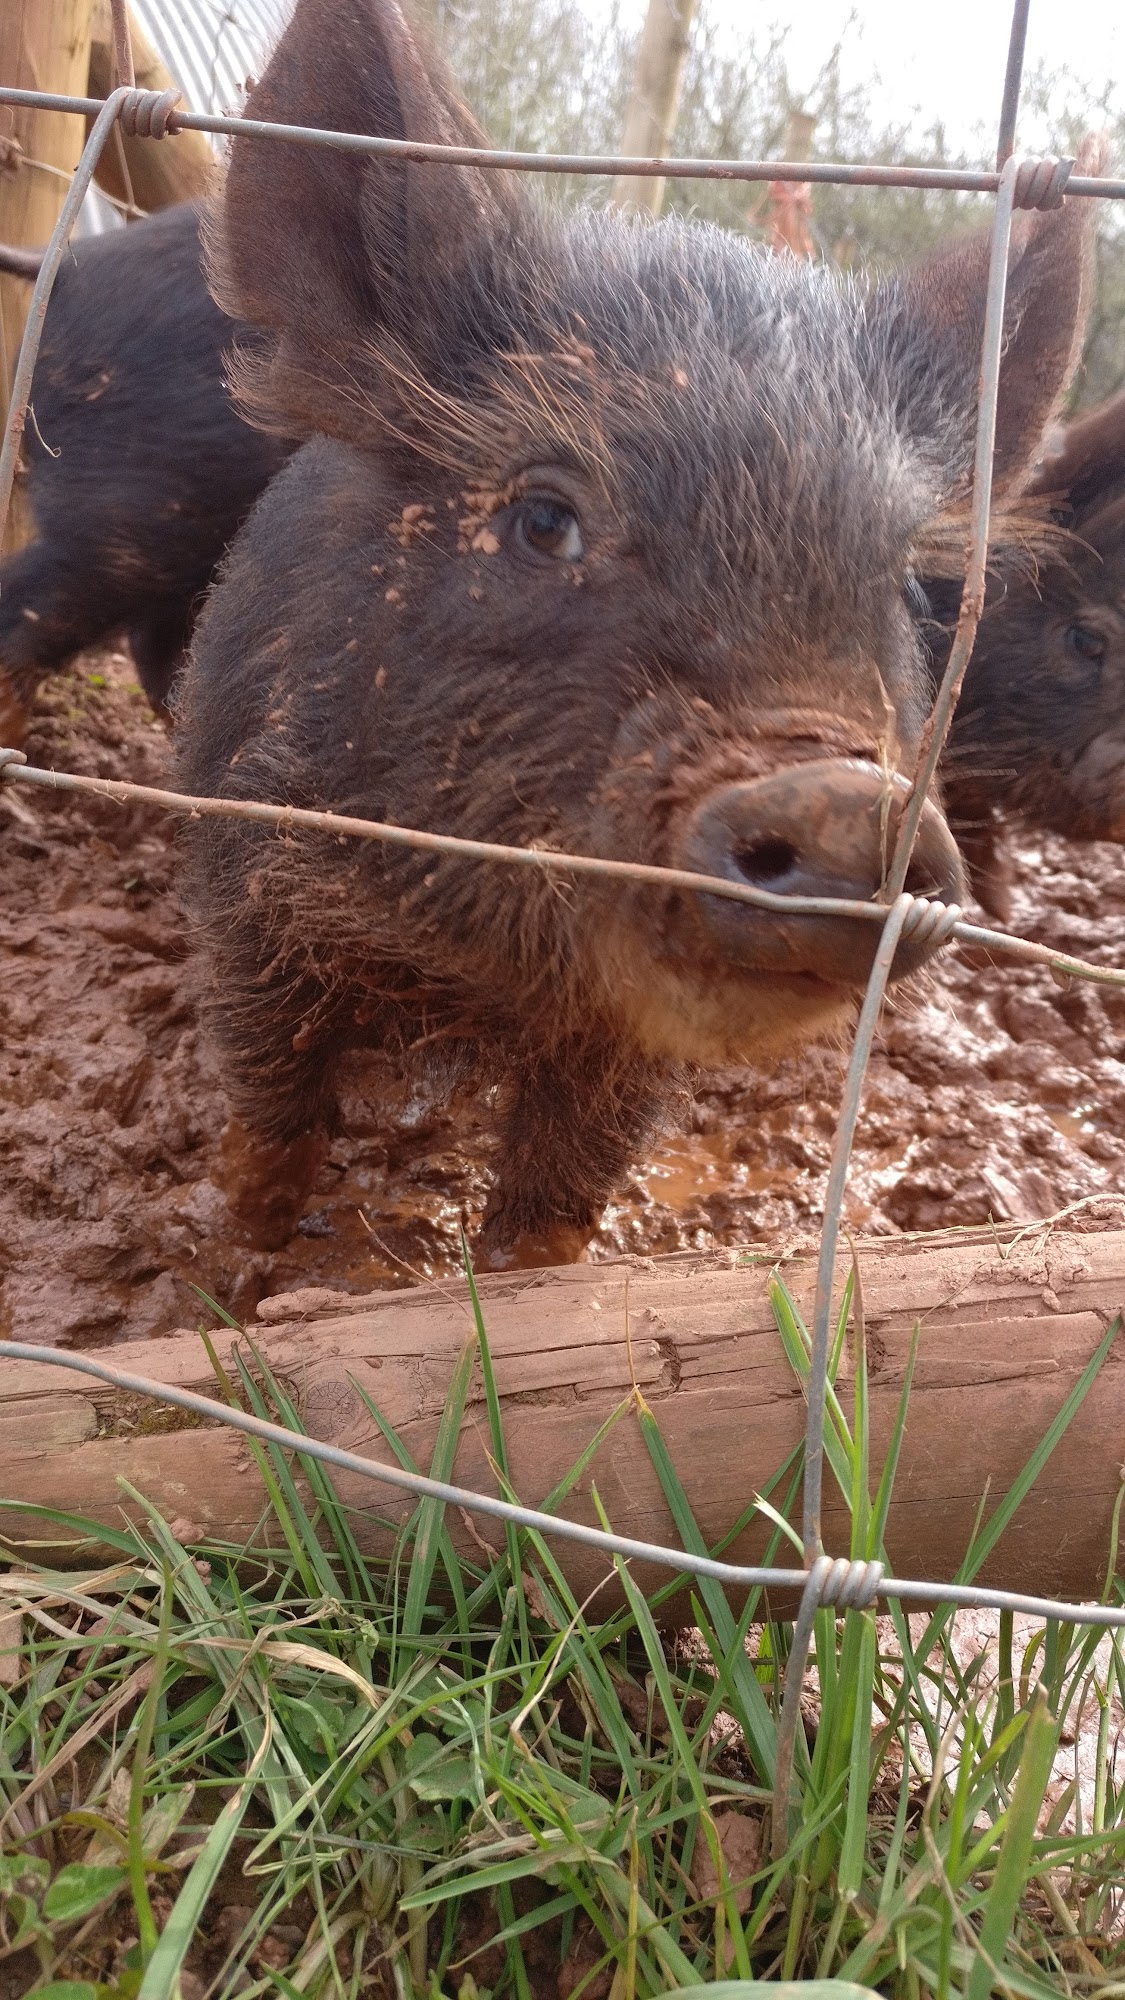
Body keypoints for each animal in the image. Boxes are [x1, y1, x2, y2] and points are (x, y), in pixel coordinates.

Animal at [177, 3, 1096, 1264]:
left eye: (910, 581)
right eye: (544, 517)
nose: (846, 799)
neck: (481, 963)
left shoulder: (624, 1047)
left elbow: (568, 1179)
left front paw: (522, 1271)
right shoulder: (249, 871)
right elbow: (272, 1094)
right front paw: (239, 1252)